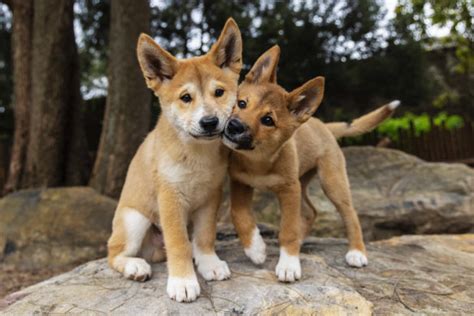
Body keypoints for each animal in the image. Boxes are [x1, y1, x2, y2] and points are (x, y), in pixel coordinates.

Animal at [106, 18, 243, 302]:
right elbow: (178, 243)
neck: (196, 154)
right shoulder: (170, 197)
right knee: (113, 252)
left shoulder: (210, 196)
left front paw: (209, 263)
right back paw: (135, 266)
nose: (209, 122)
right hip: (134, 220)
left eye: (219, 92)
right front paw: (183, 281)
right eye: (185, 98)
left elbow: (205, 236)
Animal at [224, 44, 398, 282]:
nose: (233, 126)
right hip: (303, 182)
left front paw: (288, 263)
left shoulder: (289, 190)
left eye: (268, 120)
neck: (259, 160)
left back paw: (356, 252)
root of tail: (323, 125)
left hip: (332, 182)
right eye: (241, 103)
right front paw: (255, 249)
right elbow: (238, 214)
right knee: (310, 212)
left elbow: (288, 228)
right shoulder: (241, 183)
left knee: (350, 213)